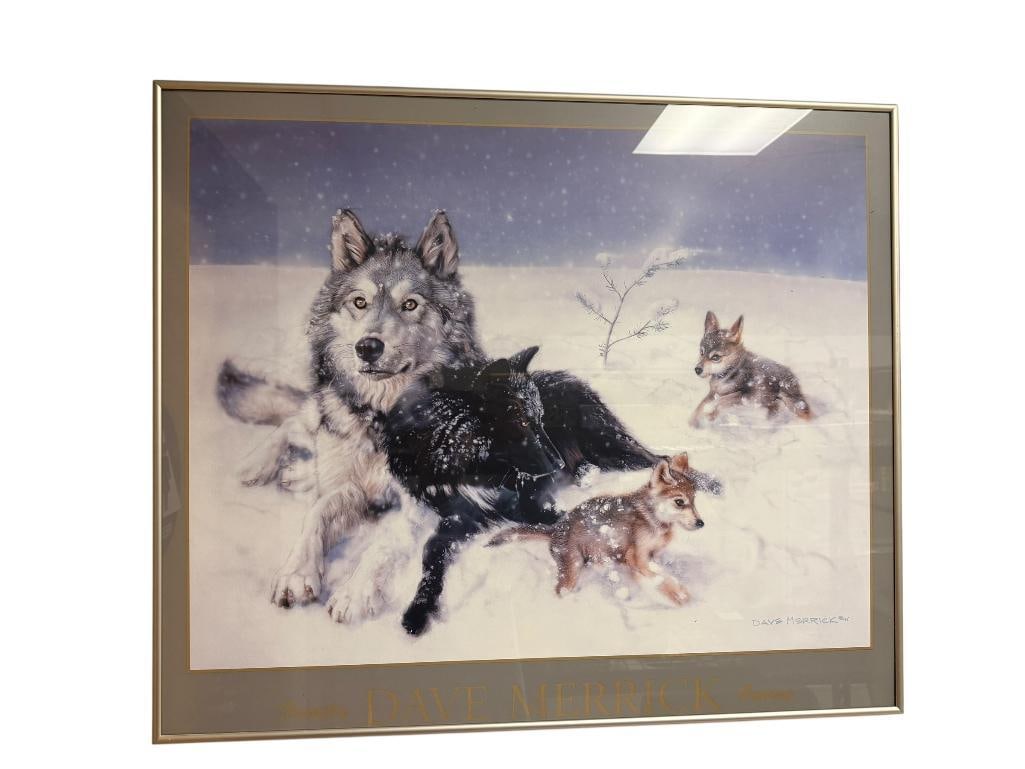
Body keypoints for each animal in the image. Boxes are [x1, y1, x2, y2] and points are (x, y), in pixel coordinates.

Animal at [488, 453, 705, 606]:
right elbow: (662, 580)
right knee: (560, 592)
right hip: (572, 571)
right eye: (679, 502)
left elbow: (661, 573)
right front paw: (680, 596)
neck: (653, 518)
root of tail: (555, 529)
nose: (701, 523)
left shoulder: (650, 556)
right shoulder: (638, 558)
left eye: (694, 500)